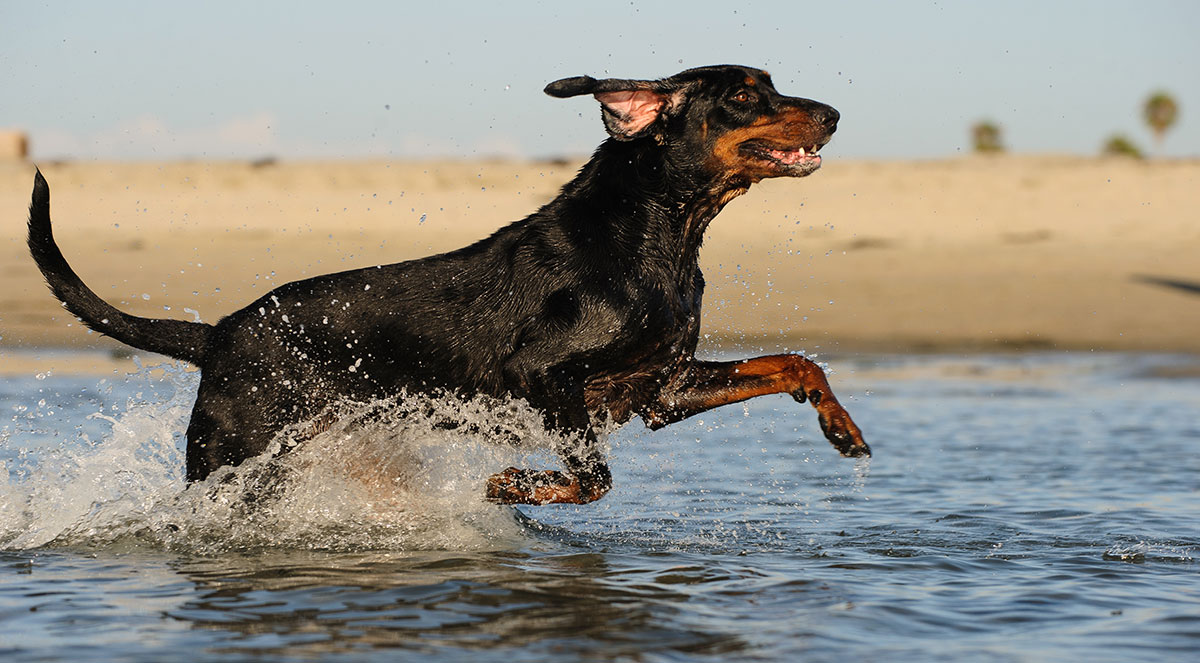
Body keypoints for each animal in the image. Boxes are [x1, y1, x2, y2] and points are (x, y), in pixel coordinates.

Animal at [25, 64, 873, 504]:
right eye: (745, 94)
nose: (835, 113)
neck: (658, 233)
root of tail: (218, 334)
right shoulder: (543, 376)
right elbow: (593, 477)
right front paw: (515, 486)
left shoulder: (660, 387)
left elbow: (793, 362)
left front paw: (841, 427)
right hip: (232, 457)